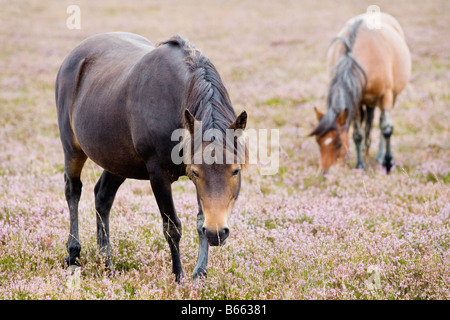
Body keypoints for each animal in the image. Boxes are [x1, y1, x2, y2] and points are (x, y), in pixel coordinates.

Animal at [55, 32, 250, 282]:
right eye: (196, 172)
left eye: (235, 170)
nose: (217, 233)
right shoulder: (158, 174)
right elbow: (172, 227)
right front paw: (178, 277)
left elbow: (200, 220)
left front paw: (199, 274)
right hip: (72, 148)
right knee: (73, 190)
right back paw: (73, 256)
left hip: (119, 161)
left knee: (102, 197)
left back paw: (106, 264)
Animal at [310, 12, 412, 174]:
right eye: (318, 142)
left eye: (339, 144)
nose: (325, 173)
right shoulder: (356, 101)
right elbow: (357, 134)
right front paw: (360, 165)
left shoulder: (386, 96)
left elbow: (386, 129)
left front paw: (388, 163)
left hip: (392, 97)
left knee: (382, 124)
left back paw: (380, 157)